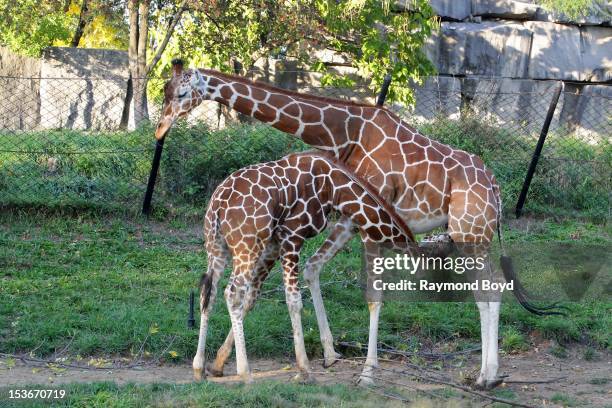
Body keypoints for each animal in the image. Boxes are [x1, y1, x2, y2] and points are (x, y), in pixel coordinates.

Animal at [196, 152, 416, 382]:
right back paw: (245, 373)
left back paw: (199, 368)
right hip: (247, 247)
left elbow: (253, 296)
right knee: (232, 294)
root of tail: (218, 204)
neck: (335, 188)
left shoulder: (274, 243)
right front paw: (304, 369)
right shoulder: (292, 235)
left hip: (216, 246)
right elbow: (294, 301)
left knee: (208, 293)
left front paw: (217, 363)